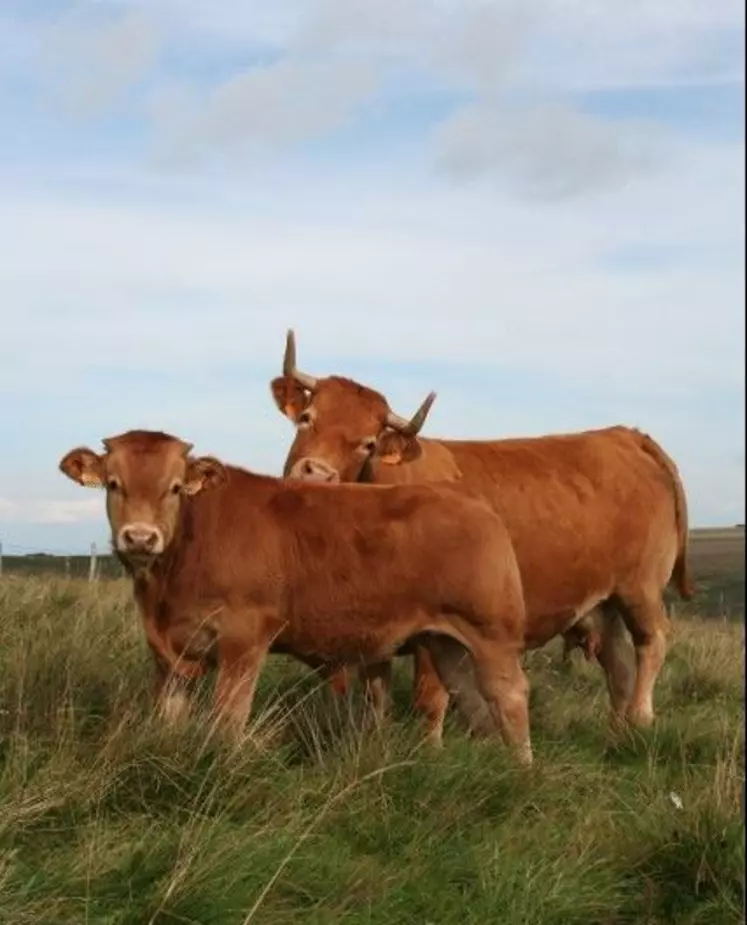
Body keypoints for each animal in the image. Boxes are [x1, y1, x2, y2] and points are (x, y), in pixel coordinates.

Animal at [61, 430, 536, 760]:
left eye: (175, 487)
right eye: (113, 484)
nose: (141, 537)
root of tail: (469, 500)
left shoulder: (244, 641)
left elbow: (228, 719)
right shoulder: (171, 654)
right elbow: (169, 718)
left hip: (492, 636)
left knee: (509, 697)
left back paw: (521, 772)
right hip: (445, 643)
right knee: (475, 700)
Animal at [270, 328, 696, 740]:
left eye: (368, 443)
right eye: (306, 417)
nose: (317, 474)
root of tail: (625, 435)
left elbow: (430, 699)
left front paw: (431, 751)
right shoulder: (374, 625)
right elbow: (376, 698)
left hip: (640, 588)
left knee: (651, 643)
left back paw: (640, 719)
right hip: (602, 602)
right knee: (619, 665)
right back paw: (616, 732)